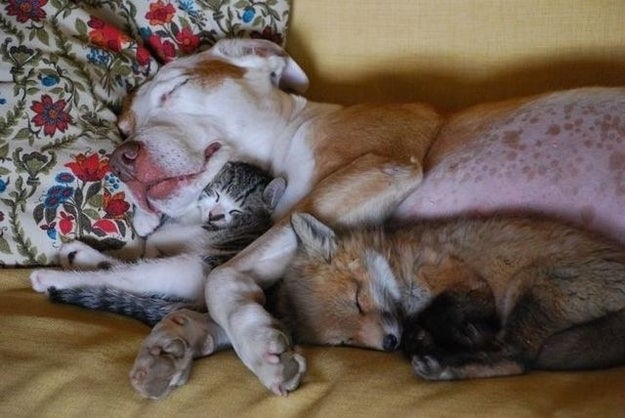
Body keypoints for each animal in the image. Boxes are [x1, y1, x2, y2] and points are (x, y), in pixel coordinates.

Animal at [276, 214, 624, 380]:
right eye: (346, 342)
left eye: (359, 301)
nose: (389, 343)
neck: (400, 263)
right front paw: (423, 339)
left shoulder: (469, 283)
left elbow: (436, 312)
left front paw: (448, 335)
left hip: (530, 286)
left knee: (516, 358)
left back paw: (445, 367)